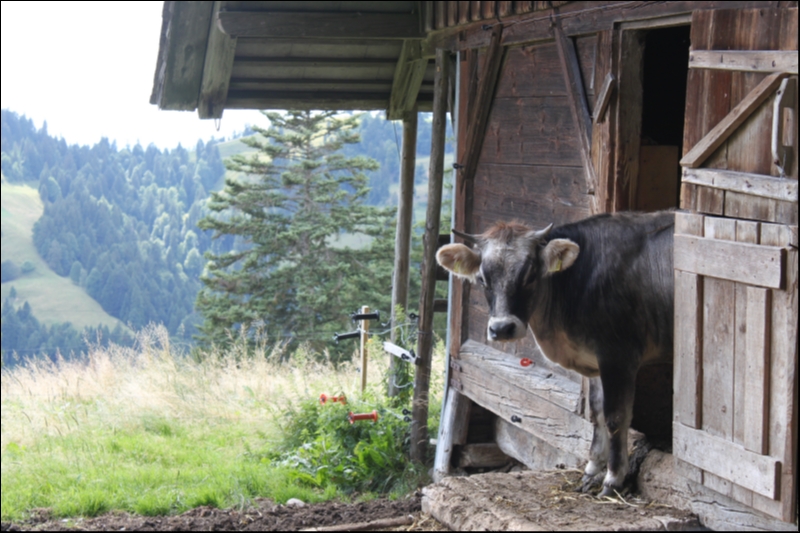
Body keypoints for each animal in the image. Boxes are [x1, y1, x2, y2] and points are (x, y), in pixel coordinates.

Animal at [436, 211, 674, 497]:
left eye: (529, 276)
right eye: (483, 279)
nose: (502, 328)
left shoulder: (619, 355)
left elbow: (615, 417)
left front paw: (613, 479)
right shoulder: (596, 359)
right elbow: (597, 413)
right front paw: (592, 471)